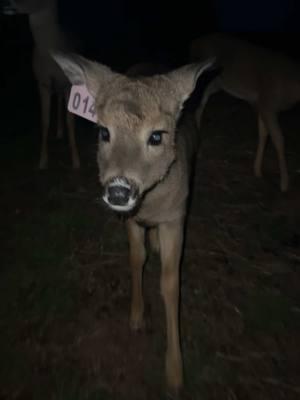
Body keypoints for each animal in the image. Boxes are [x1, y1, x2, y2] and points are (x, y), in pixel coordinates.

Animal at [13, 0, 80, 169]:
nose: (6, 4)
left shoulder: (68, 83)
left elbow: (70, 121)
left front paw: (76, 160)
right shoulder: (42, 82)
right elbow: (44, 121)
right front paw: (42, 160)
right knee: (59, 100)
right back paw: (59, 132)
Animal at [52, 51, 214, 396]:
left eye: (156, 136)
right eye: (104, 132)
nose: (118, 190)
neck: (151, 202)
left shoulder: (176, 216)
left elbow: (171, 282)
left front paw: (175, 373)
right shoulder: (132, 218)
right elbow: (137, 259)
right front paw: (137, 317)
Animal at [190, 32, 300, 192]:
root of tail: (194, 43)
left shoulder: (262, 104)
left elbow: (263, 134)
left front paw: (258, 171)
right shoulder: (269, 102)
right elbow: (279, 139)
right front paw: (284, 184)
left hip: (216, 84)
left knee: (200, 104)